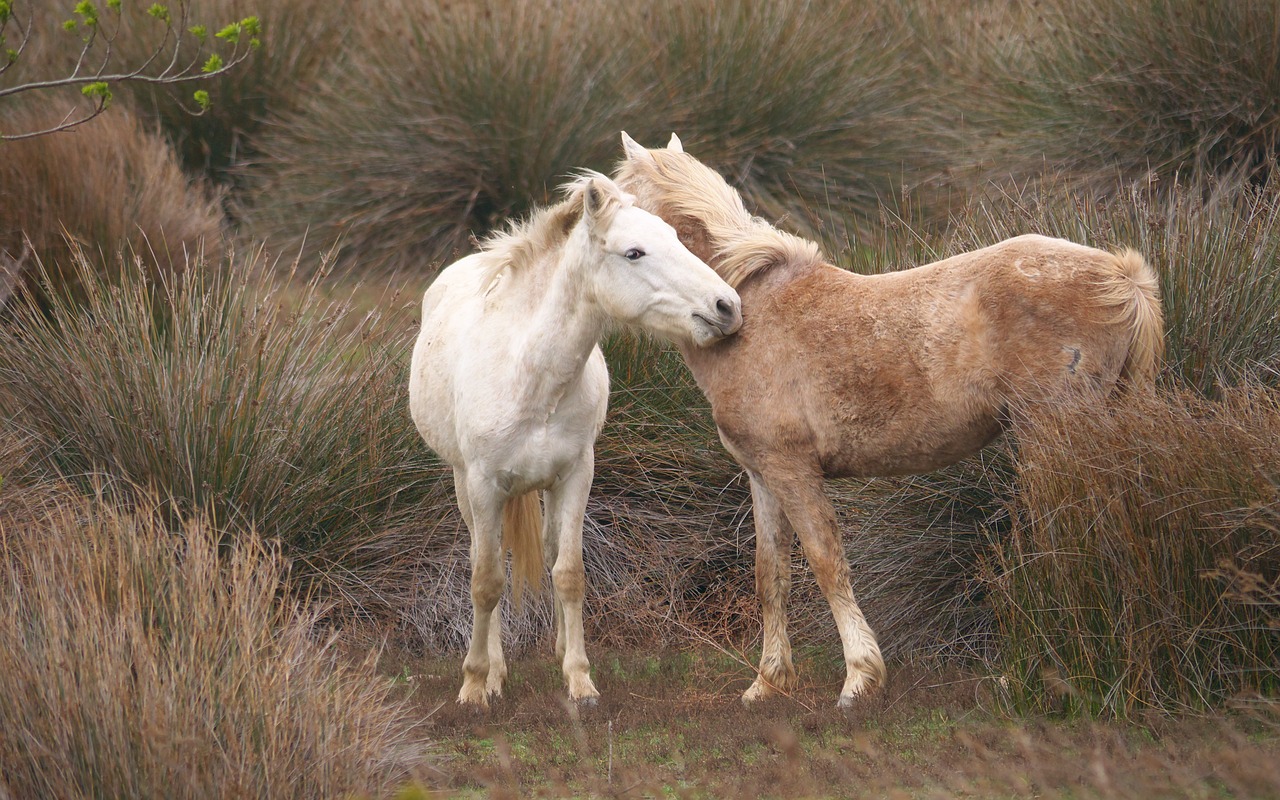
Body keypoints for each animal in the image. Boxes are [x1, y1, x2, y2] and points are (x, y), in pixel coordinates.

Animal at [409, 171, 747, 701]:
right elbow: (486, 581)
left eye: (674, 237)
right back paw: (495, 671)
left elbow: (569, 574)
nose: (727, 307)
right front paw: (474, 683)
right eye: (634, 252)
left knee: (549, 554)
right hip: (466, 485)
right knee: (485, 558)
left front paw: (579, 678)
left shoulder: (575, 477)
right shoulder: (484, 484)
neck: (530, 373)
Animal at [614, 131, 1167, 706]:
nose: (723, 311)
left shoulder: (793, 471)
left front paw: (860, 678)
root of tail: (1122, 275)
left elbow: (826, 562)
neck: (751, 309)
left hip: (1056, 439)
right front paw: (767, 683)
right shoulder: (763, 476)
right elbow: (772, 576)